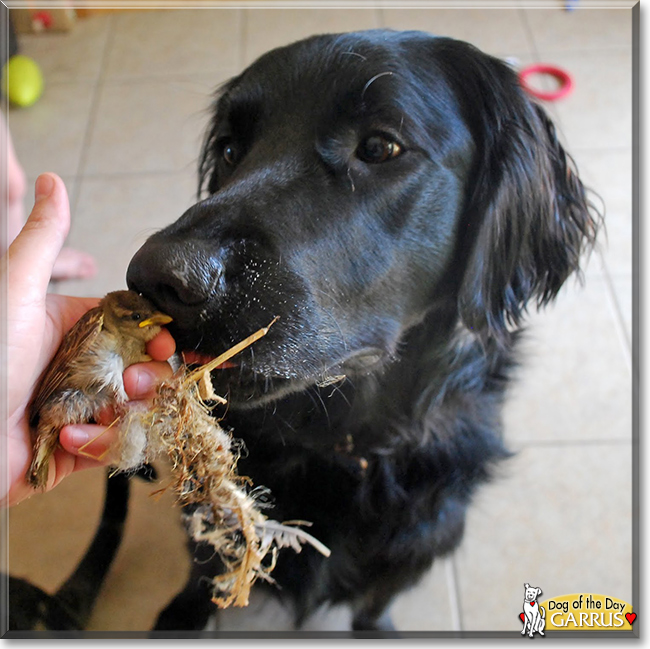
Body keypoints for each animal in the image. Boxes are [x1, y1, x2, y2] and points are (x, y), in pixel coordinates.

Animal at [126, 30, 596, 632]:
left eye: (379, 147)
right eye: (231, 151)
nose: (157, 279)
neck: (340, 445)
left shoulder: (421, 542)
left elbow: (378, 598)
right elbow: (201, 568)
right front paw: (181, 614)